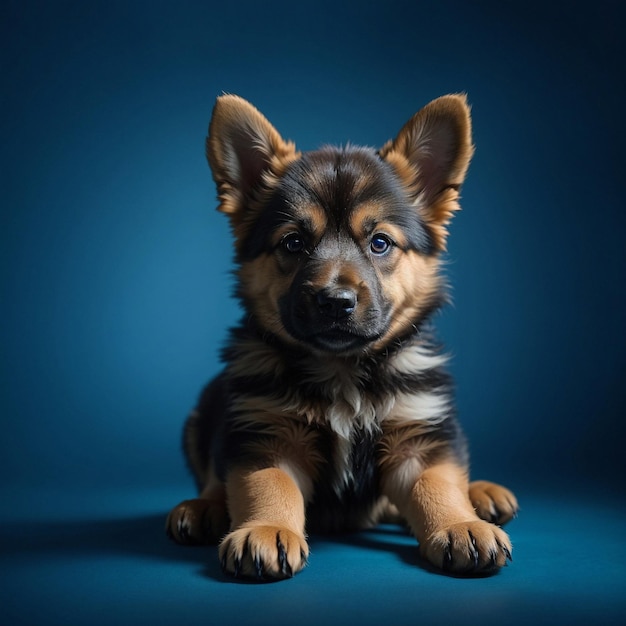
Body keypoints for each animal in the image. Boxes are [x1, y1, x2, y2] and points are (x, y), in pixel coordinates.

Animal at [166, 94, 516, 580]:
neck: (342, 369)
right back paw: (203, 507)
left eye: (380, 243)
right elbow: (267, 483)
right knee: (216, 476)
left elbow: (437, 483)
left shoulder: (418, 437)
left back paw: (481, 493)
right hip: (205, 414)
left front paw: (459, 523)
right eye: (293, 243)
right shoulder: (265, 436)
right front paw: (268, 528)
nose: (335, 302)